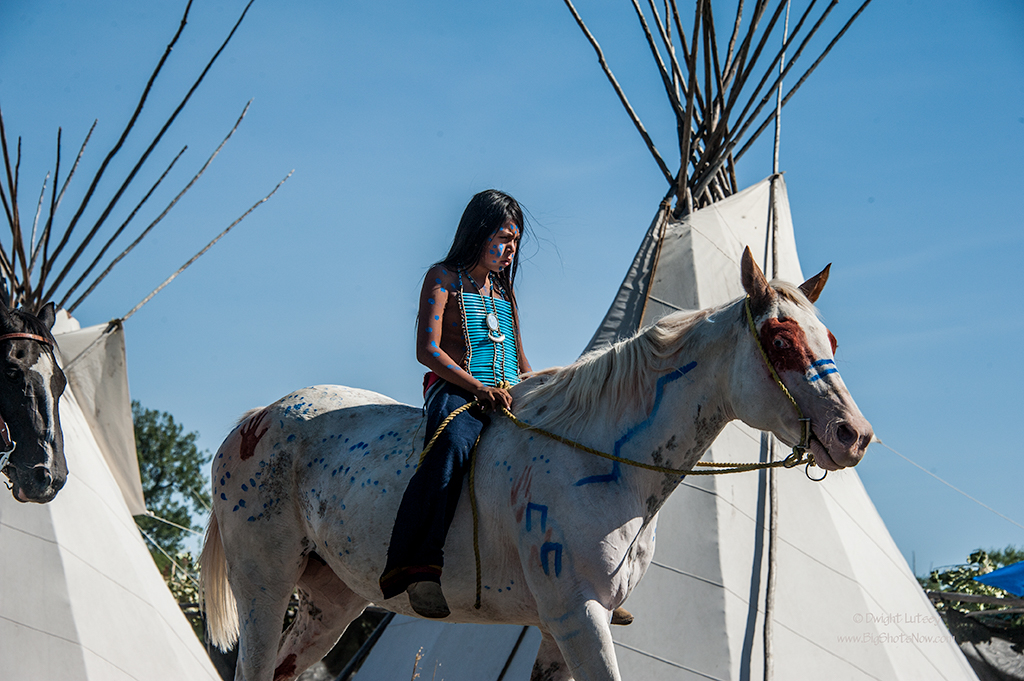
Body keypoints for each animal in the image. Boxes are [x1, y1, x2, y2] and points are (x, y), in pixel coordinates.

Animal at [197, 245, 872, 679]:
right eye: (781, 340)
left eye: (831, 340)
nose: (854, 436)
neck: (609, 464)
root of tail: (258, 418)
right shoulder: (579, 617)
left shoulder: (557, 630)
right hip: (264, 587)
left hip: (331, 601)